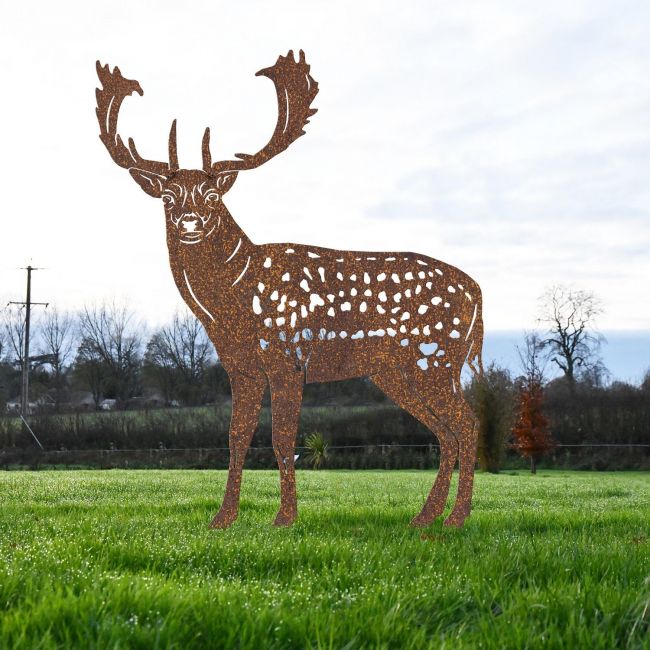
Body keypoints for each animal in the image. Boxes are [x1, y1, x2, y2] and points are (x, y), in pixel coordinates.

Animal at [95, 51, 484, 529]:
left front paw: (284, 518)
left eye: (212, 196)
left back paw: (454, 519)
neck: (234, 296)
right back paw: (425, 518)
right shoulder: (240, 366)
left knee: (466, 424)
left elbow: (283, 440)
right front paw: (223, 518)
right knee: (446, 431)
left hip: (436, 357)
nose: (189, 223)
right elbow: (236, 438)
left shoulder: (287, 355)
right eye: (168, 197)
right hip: (397, 371)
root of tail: (477, 292)